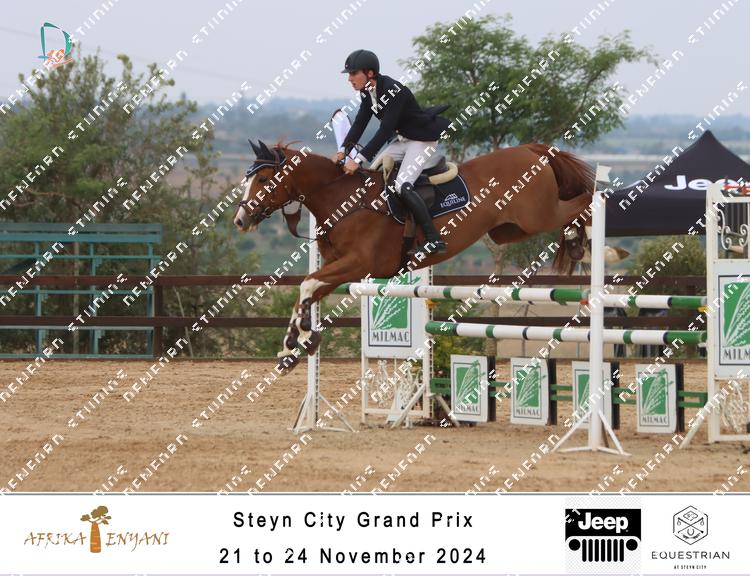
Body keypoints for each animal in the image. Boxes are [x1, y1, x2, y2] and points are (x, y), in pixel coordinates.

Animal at [233, 139, 594, 374]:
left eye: (263, 179)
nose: (240, 220)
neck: (343, 199)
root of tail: (532, 149)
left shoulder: (357, 264)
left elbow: (307, 286)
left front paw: (303, 339)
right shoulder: (340, 270)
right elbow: (305, 291)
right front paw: (292, 347)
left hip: (538, 216)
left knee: (583, 200)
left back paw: (582, 240)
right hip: (509, 230)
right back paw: (577, 241)